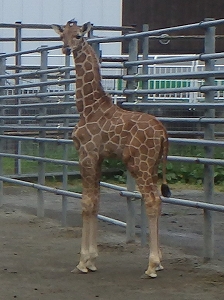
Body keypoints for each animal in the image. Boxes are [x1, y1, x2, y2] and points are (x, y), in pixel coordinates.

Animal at [52, 19, 171, 278]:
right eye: (62, 36)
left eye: (78, 35)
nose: (66, 48)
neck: (88, 106)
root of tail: (163, 133)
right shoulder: (97, 158)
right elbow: (95, 202)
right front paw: (92, 260)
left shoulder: (86, 154)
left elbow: (86, 203)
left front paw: (83, 261)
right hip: (152, 164)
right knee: (158, 199)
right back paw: (159, 262)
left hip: (139, 163)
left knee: (152, 201)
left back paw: (152, 265)